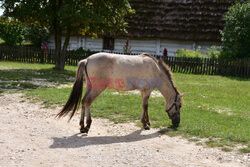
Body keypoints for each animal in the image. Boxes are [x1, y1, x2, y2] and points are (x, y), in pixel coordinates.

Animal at [57, 52, 185, 133]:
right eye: (179, 105)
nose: (177, 123)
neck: (156, 70)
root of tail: (87, 59)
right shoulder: (147, 91)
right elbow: (146, 106)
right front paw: (146, 124)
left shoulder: (143, 92)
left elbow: (143, 107)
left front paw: (146, 122)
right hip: (97, 89)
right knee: (87, 102)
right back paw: (87, 126)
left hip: (90, 86)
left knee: (83, 102)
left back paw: (82, 126)